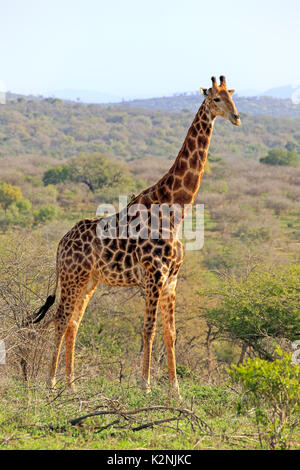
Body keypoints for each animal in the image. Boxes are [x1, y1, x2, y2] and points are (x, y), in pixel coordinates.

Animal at [26, 75, 241, 394]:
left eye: (232, 97)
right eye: (216, 99)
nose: (237, 117)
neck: (176, 211)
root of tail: (60, 244)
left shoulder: (172, 280)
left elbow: (170, 333)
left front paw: (175, 390)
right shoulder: (153, 277)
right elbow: (148, 330)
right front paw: (145, 385)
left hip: (89, 280)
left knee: (74, 322)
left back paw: (71, 384)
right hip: (72, 277)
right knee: (60, 319)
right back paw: (52, 383)